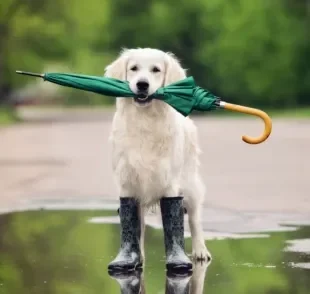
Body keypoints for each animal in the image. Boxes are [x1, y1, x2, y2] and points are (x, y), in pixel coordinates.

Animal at [104, 48, 211, 262]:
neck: (145, 120)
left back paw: (200, 251)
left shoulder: (169, 182)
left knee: (194, 218)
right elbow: (133, 225)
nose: (142, 84)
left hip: (190, 184)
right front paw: (133, 257)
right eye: (133, 68)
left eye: (156, 70)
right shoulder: (127, 182)